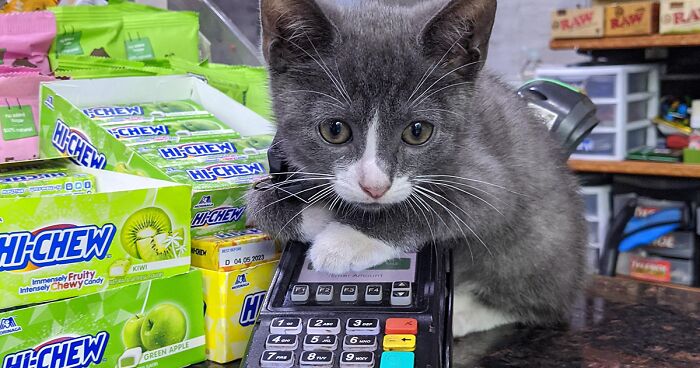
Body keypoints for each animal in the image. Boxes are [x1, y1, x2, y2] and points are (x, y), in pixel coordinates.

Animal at [249, 0, 588, 336]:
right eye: (334, 129)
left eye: (417, 131)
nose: (374, 187)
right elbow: (256, 201)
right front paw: (312, 212)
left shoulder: (489, 177)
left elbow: (435, 206)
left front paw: (344, 239)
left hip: (538, 245)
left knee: (534, 301)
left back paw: (462, 312)